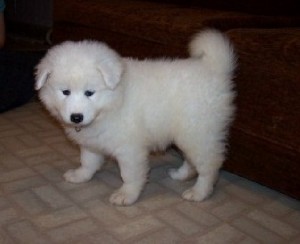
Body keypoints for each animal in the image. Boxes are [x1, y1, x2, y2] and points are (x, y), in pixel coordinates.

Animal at [35, 29, 236, 207]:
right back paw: (180, 175)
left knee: (209, 165)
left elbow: (129, 175)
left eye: (89, 93)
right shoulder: (92, 140)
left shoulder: (130, 149)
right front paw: (80, 175)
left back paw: (199, 192)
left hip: (199, 133)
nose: (76, 117)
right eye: (65, 92)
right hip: (186, 134)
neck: (114, 101)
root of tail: (213, 69)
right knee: (191, 159)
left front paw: (126, 195)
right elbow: (88, 160)